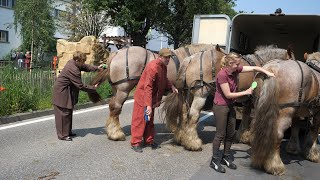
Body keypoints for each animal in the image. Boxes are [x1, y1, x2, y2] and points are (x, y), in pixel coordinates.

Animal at [162, 44, 296, 150]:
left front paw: (242, 135)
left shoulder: (247, 99)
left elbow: (246, 115)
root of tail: (190, 58)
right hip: (201, 94)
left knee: (183, 112)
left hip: (186, 93)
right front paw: (249, 137)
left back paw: (181, 137)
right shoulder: (255, 99)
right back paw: (193, 143)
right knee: (193, 114)